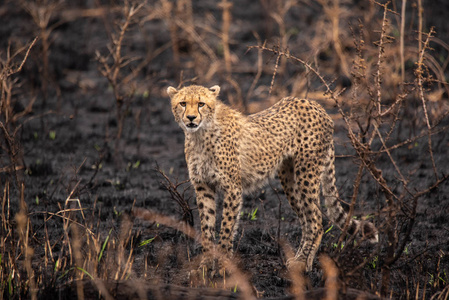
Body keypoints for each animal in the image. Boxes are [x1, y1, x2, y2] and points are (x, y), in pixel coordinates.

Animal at [166, 83, 376, 274]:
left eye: (201, 104)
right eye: (183, 103)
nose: (191, 118)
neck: (200, 134)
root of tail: (316, 105)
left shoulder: (232, 188)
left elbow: (226, 228)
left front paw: (222, 267)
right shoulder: (204, 187)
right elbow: (207, 227)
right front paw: (205, 266)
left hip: (306, 173)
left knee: (316, 219)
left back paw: (303, 263)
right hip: (289, 179)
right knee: (306, 220)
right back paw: (299, 258)